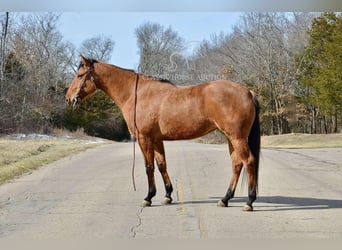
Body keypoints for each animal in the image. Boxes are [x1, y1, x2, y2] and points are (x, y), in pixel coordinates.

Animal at [66, 54, 260, 211]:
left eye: (79, 75)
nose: (68, 98)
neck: (136, 95)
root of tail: (248, 91)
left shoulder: (144, 139)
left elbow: (149, 167)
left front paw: (148, 197)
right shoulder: (157, 140)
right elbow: (161, 165)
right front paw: (167, 195)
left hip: (237, 138)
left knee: (248, 161)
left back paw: (249, 202)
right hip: (231, 138)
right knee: (237, 164)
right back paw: (225, 199)